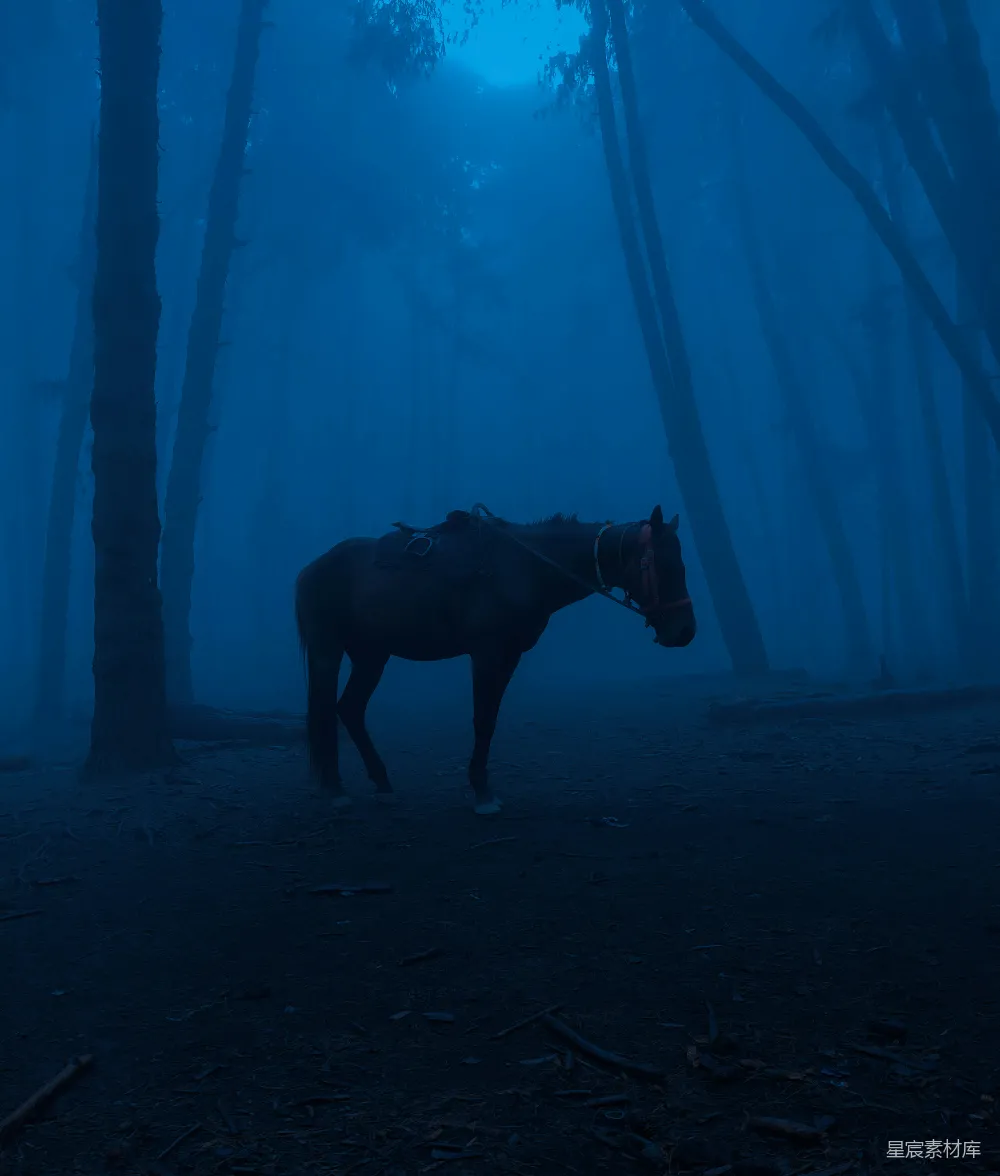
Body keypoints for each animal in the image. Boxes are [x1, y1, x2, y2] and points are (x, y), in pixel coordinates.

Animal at [294, 503, 696, 815]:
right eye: (664, 566)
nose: (685, 632)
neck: (523, 568)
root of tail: (311, 569)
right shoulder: (486, 653)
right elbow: (482, 719)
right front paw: (482, 794)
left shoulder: (510, 656)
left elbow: (491, 721)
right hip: (327, 651)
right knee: (326, 710)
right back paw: (336, 790)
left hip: (372, 655)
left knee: (349, 709)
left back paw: (382, 783)